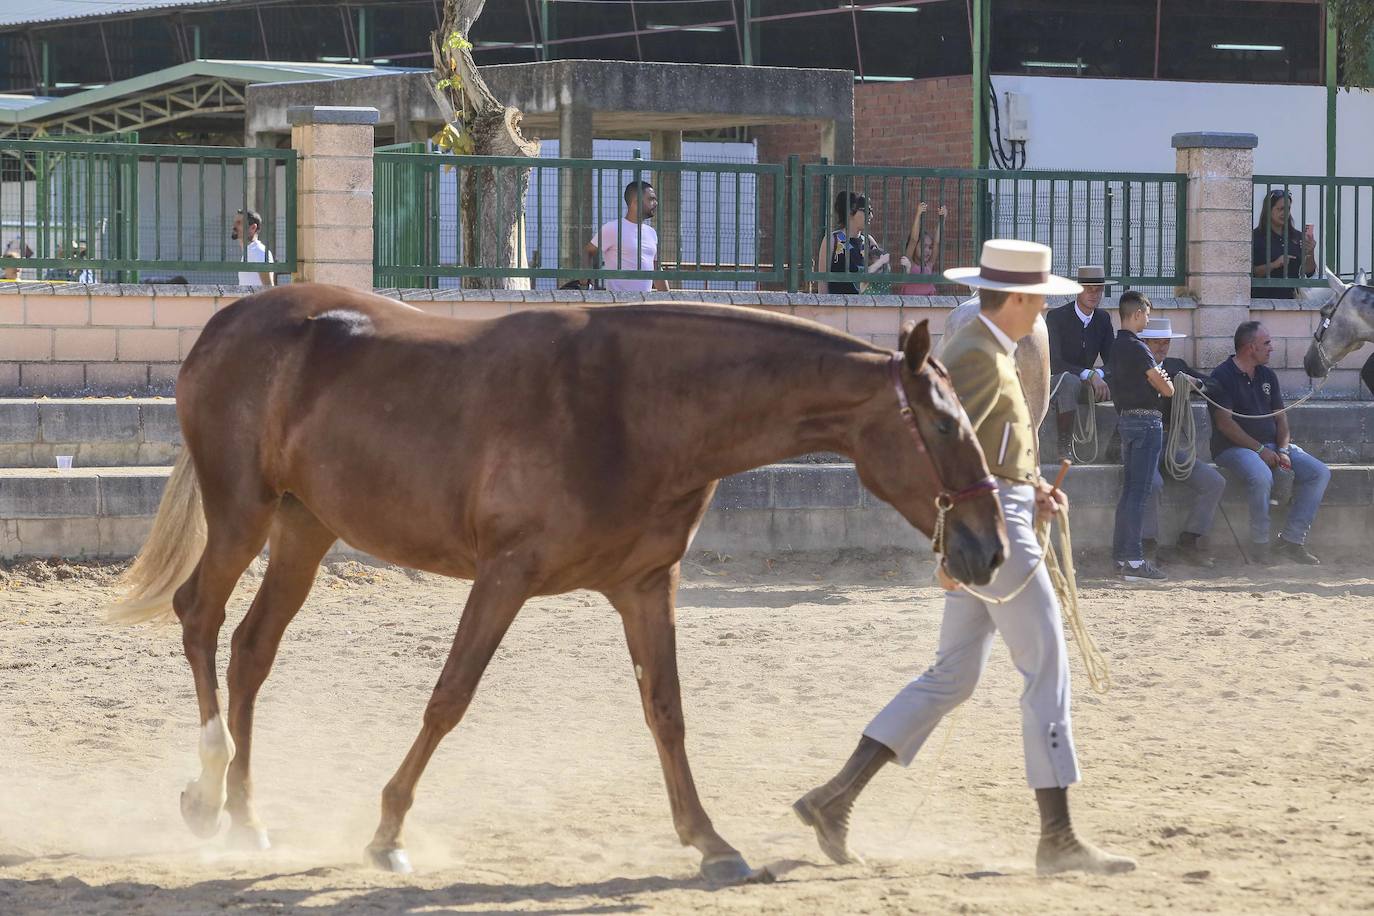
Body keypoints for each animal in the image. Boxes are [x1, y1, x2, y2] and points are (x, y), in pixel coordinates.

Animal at [107, 289, 1005, 884]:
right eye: (946, 424)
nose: (988, 549)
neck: (635, 407)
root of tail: (226, 323)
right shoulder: (504, 576)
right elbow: (449, 697)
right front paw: (388, 829)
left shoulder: (646, 586)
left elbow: (666, 712)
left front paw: (709, 841)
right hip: (243, 512)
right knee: (200, 620)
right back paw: (207, 793)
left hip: (304, 526)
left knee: (251, 650)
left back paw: (246, 816)